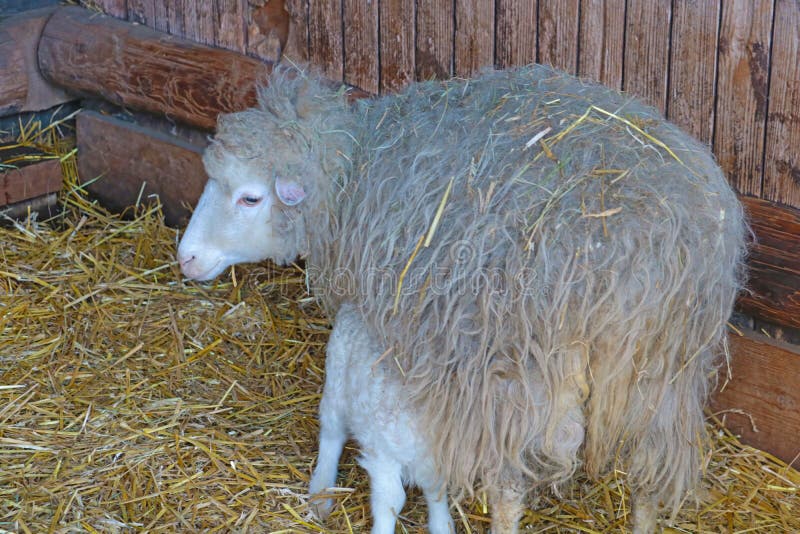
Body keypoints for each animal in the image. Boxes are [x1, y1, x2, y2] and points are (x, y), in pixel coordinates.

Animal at [177, 64, 748, 533]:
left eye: (250, 197)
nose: (185, 257)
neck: (354, 173)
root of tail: (641, 248)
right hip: (664, 373)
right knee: (651, 474)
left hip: (516, 374)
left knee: (508, 486)